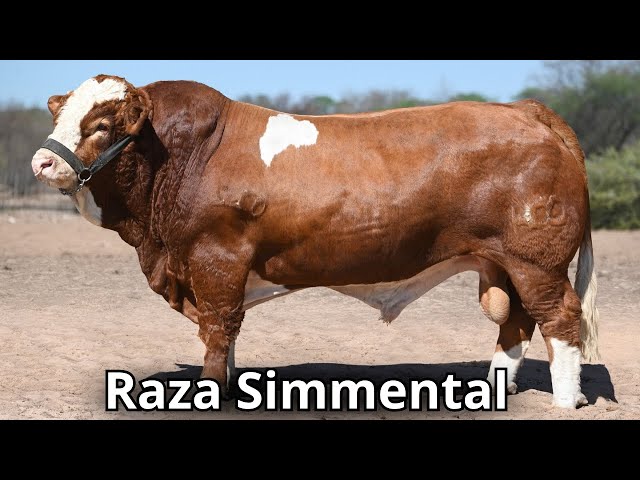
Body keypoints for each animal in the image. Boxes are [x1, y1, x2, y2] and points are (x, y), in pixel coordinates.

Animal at [31, 74, 599, 409]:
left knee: (560, 319)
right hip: (504, 262)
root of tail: (523, 109)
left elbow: (216, 332)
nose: (42, 161)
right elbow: (229, 335)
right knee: (516, 323)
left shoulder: (215, 260)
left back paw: (564, 401)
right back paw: (495, 389)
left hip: (537, 262)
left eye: (103, 124)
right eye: (58, 115)